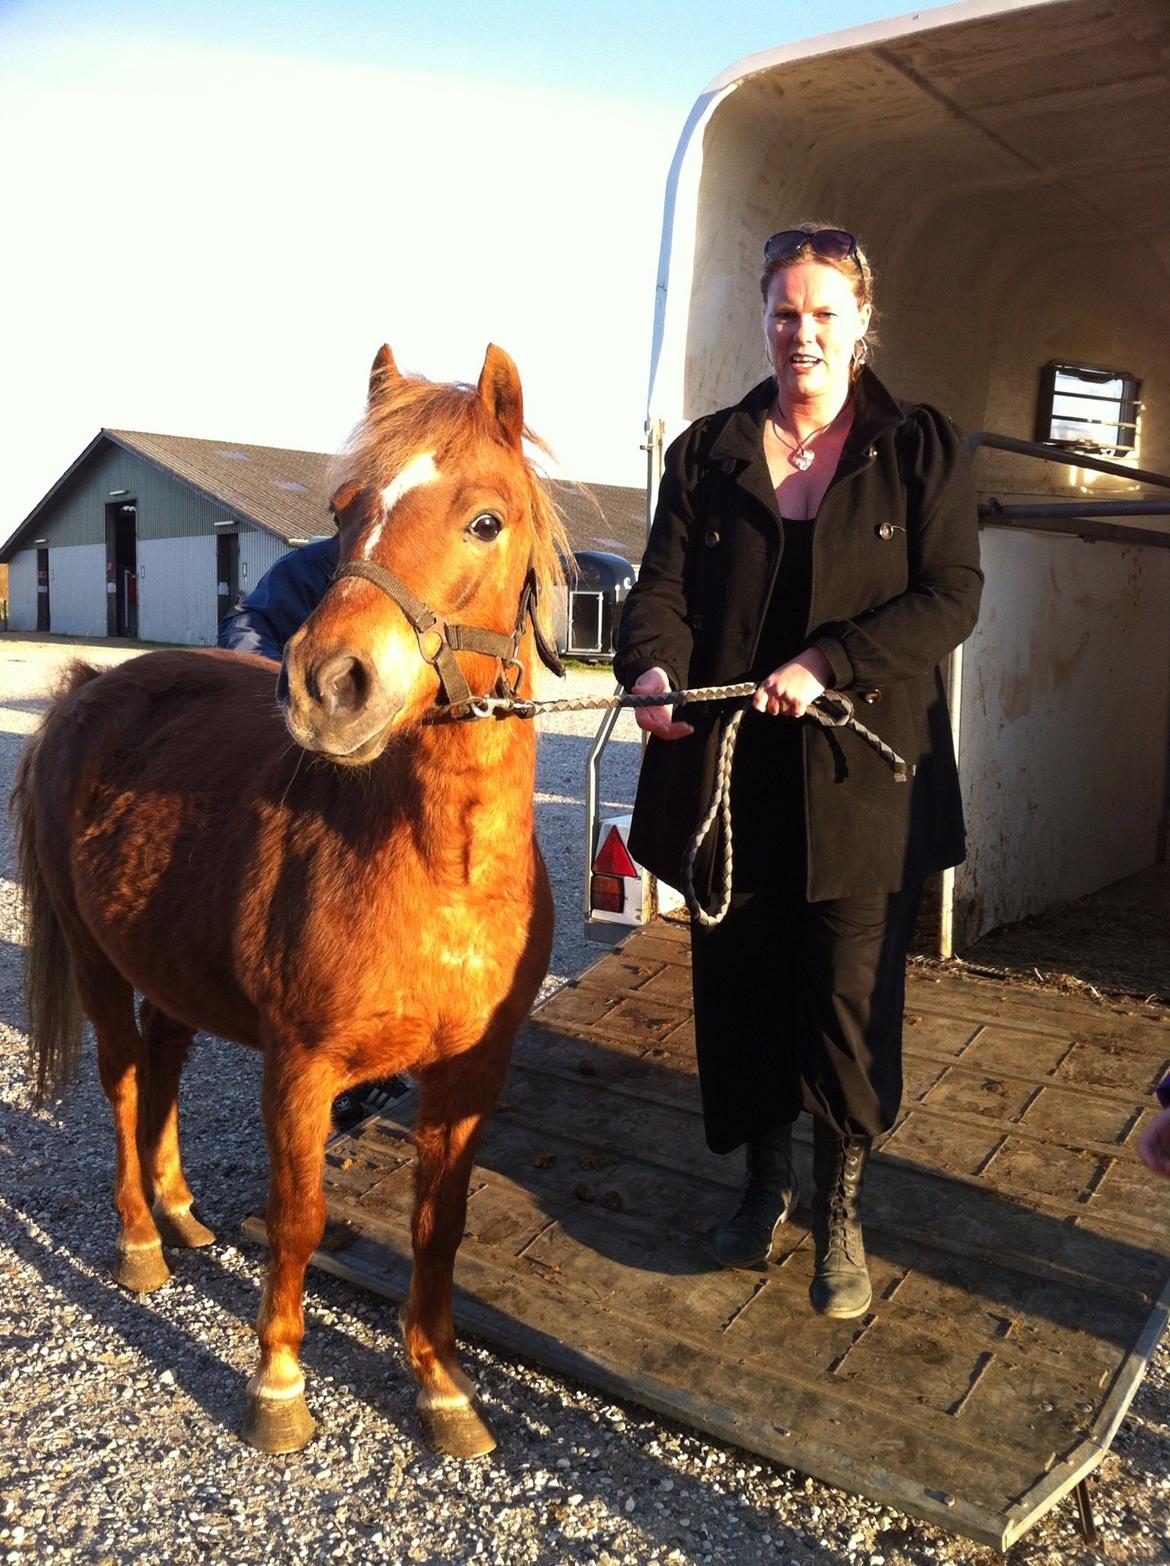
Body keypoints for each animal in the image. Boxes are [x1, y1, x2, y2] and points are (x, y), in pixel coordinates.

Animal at [13, 342, 567, 1459]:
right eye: (345, 509)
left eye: (486, 521)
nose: (328, 683)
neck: (439, 870)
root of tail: (85, 690)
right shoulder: (303, 1066)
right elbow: (299, 1217)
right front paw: (277, 1385)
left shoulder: (470, 1077)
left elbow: (439, 1226)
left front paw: (443, 1391)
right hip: (96, 962)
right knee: (124, 1083)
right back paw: (140, 1242)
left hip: (171, 966)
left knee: (163, 1068)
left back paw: (181, 1213)